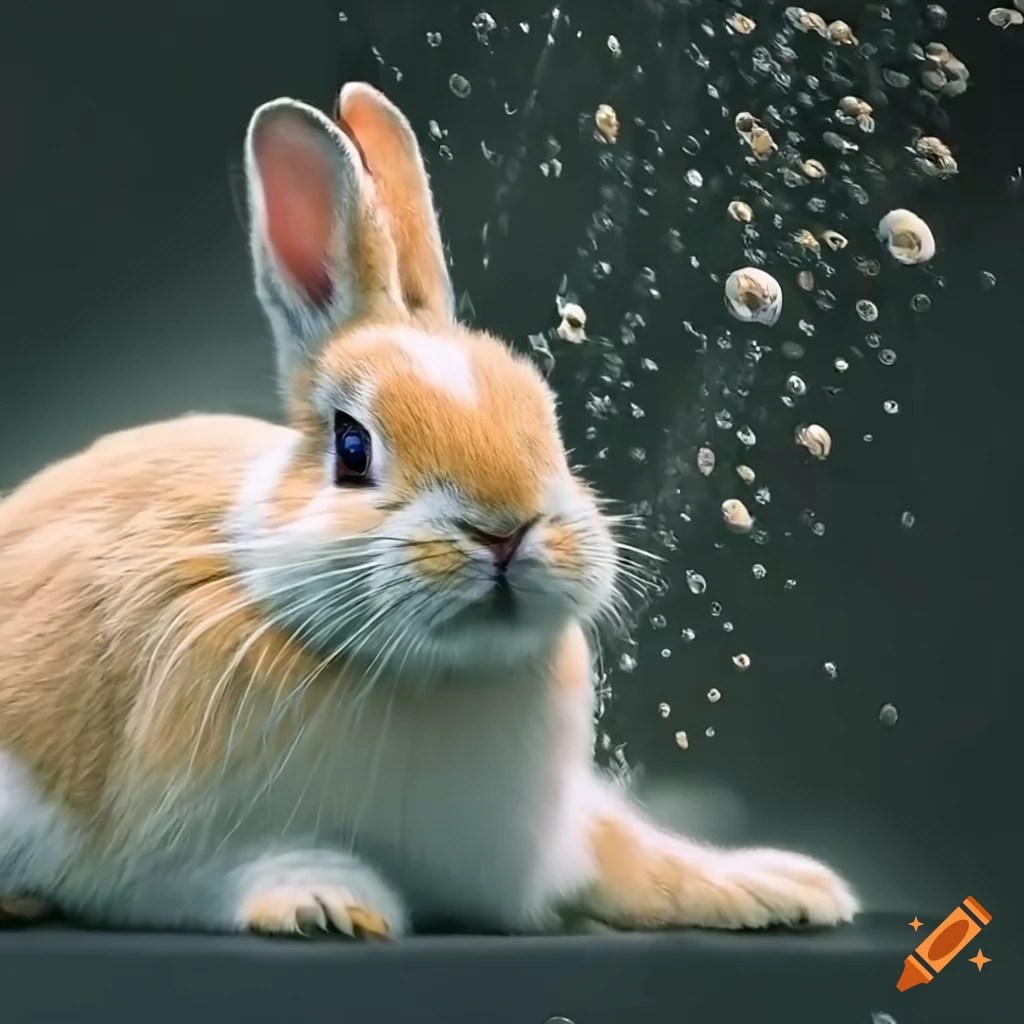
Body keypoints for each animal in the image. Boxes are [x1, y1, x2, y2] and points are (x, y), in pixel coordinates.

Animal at [0, 83, 858, 938]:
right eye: (352, 447)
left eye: (548, 423)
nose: (504, 530)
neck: (438, 674)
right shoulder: (168, 857)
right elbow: (237, 871)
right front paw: (328, 903)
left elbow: (639, 856)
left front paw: (786, 887)